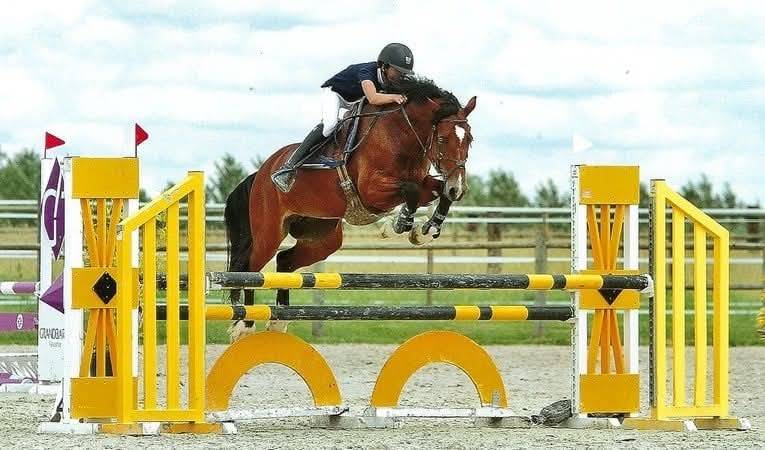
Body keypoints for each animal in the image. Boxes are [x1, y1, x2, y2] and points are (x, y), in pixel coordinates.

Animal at [224, 77, 476, 337]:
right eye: (442, 139)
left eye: (469, 139)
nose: (459, 188)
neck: (402, 135)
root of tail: (261, 173)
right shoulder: (372, 191)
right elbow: (411, 191)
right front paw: (399, 224)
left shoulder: (423, 182)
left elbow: (437, 192)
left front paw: (426, 230)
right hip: (269, 232)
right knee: (251, 268)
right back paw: (245, 324)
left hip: (322, 235)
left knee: (285, 260)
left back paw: (278, 321)